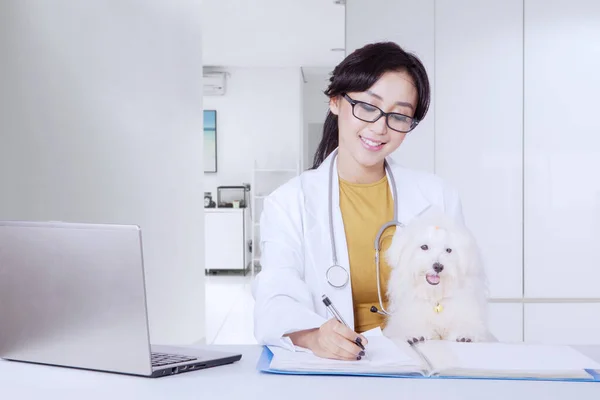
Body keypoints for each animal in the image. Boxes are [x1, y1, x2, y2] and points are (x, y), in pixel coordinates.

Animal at [384, 209, 492, 344]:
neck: (435, 295)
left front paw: (465, 334)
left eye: (448, 250)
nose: (438, 266)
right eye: (424, 247)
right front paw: (415, 334)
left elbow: (468, 324)